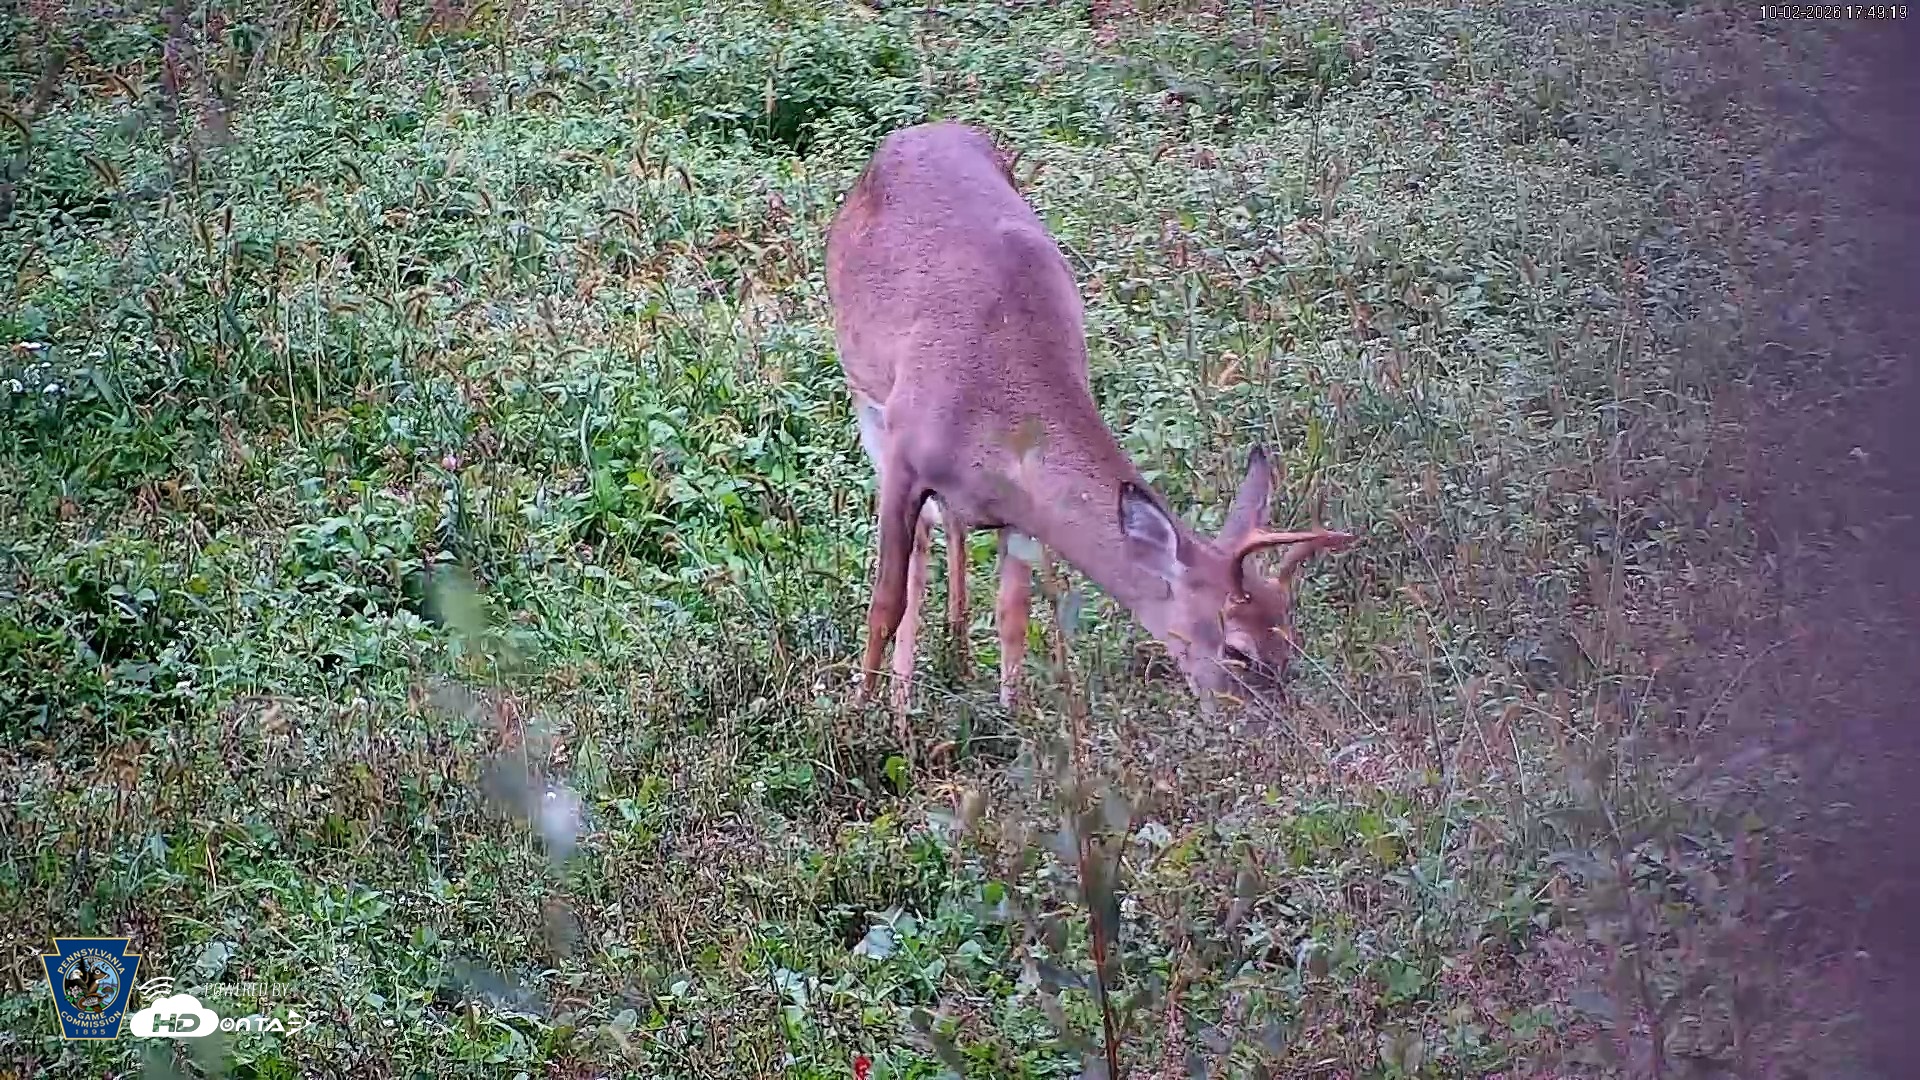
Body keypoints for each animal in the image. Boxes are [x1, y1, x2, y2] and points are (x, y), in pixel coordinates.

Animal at [824, 121, 1357, 742]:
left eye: (1290, 639)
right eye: (1237, 648)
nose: (1276, 734)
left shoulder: (1019, 507)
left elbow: (1012, 611)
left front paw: (1014, 718)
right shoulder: (907, 456)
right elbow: (883, 602)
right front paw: (857, 720)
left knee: (946, 531)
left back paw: (952, 648)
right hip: (865, 392)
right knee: (918, 550)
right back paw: (902, 700)